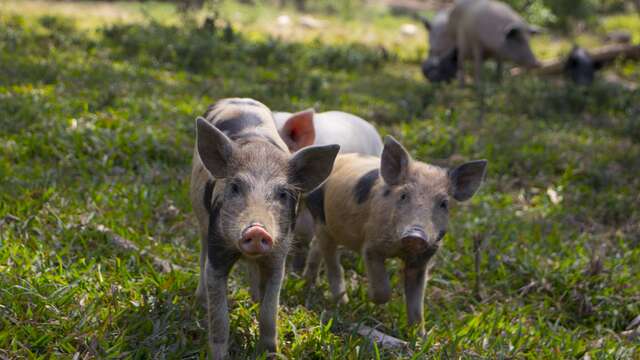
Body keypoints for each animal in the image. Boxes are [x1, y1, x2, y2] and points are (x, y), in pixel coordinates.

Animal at [190, 97, 340, 358]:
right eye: (235, 187)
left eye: (282, 193)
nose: (257, 230)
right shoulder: (217, 246)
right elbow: (219, 317)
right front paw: (219, 354)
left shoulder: (279, 253)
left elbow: (269, 311)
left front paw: (271, 353)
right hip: (201, 221)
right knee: (201, 256)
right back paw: (201, 301)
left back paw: (253, 297)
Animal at [302, 135, 488, 334]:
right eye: (404, 195)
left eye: (444, 203)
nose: (416, 234)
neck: (401, 250)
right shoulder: (371, 246)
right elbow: (383, 290)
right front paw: (369, 296)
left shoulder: (422, 259)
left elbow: (417, 303)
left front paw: (419, 336)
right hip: (320, 216)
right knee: (332, 261)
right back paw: (342, 302)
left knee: (316, 246)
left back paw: (308, 282)